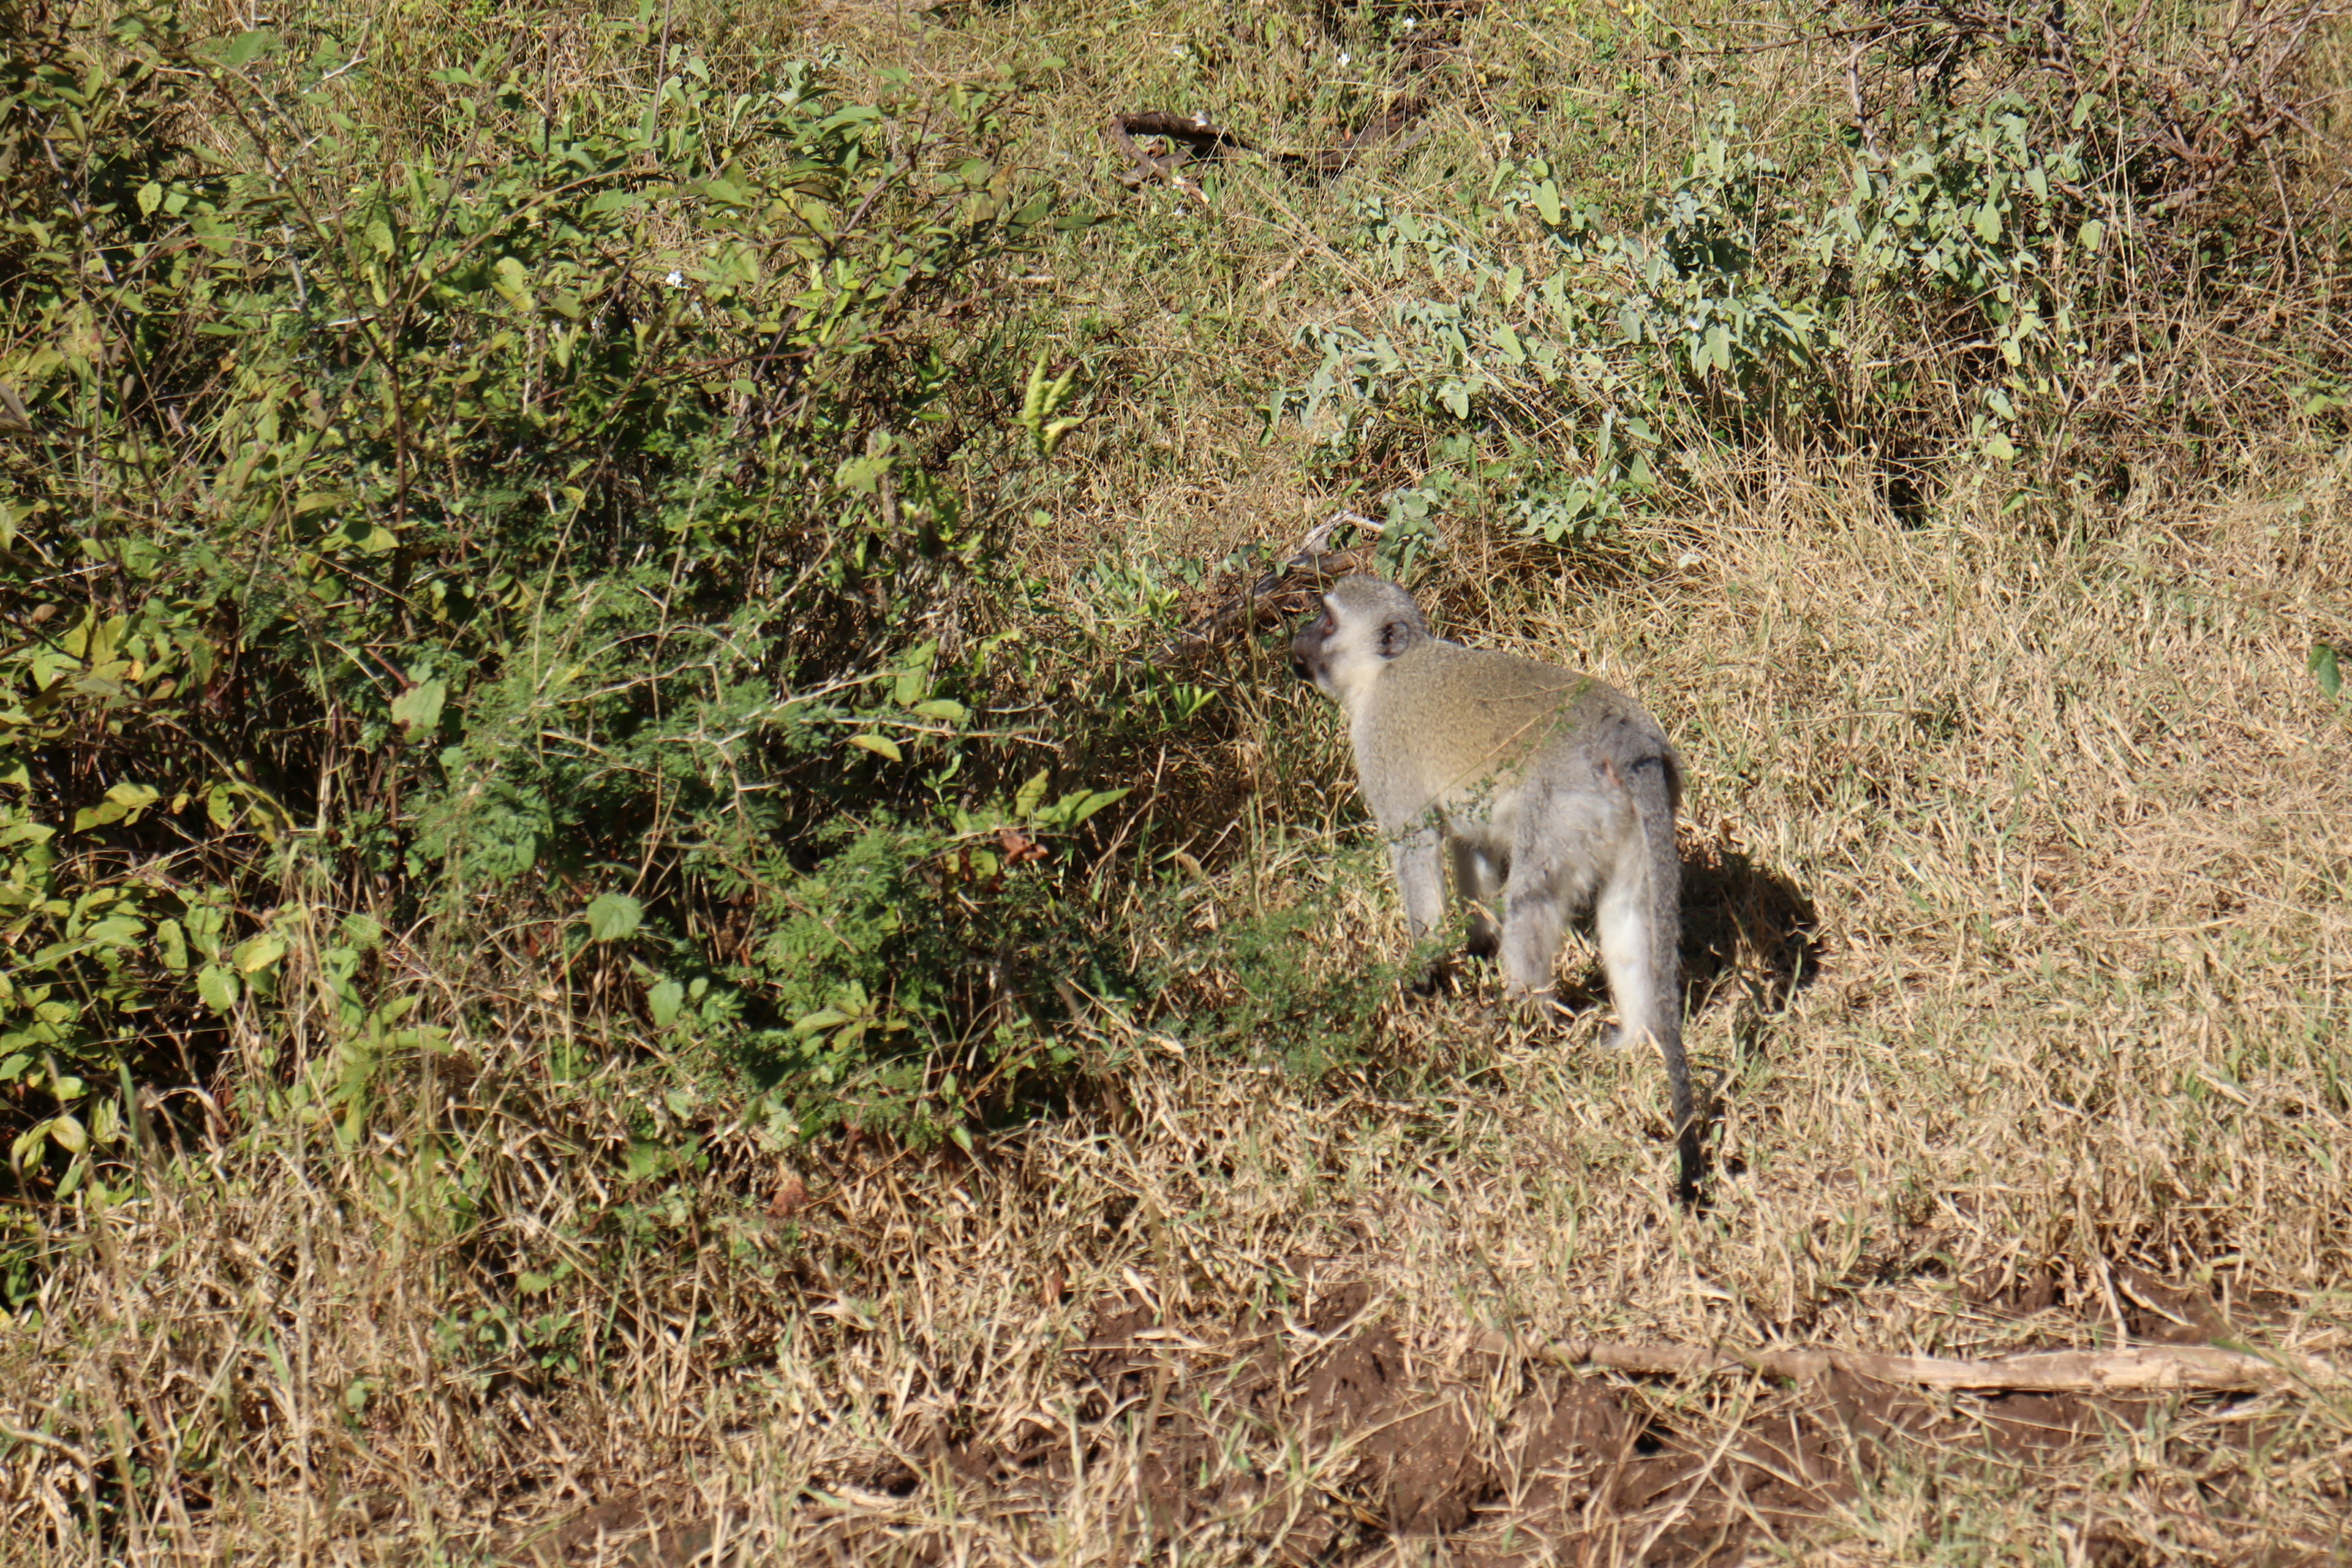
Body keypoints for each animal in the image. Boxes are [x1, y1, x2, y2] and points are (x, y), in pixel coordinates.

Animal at [1298, 581, 1703, 1204]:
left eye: (1325, 621)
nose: (1296, 641)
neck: (1388, 671)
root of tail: (1627, 738)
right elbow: (1476, 850)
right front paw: (1475, 946)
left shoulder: (1382, 746)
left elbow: (1416, 849)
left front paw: (1423, 975)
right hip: (1624, 826)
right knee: (1626, 916)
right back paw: (1634, 1038)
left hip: (1563, 805)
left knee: (1533, 904)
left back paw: (1521, 1013)